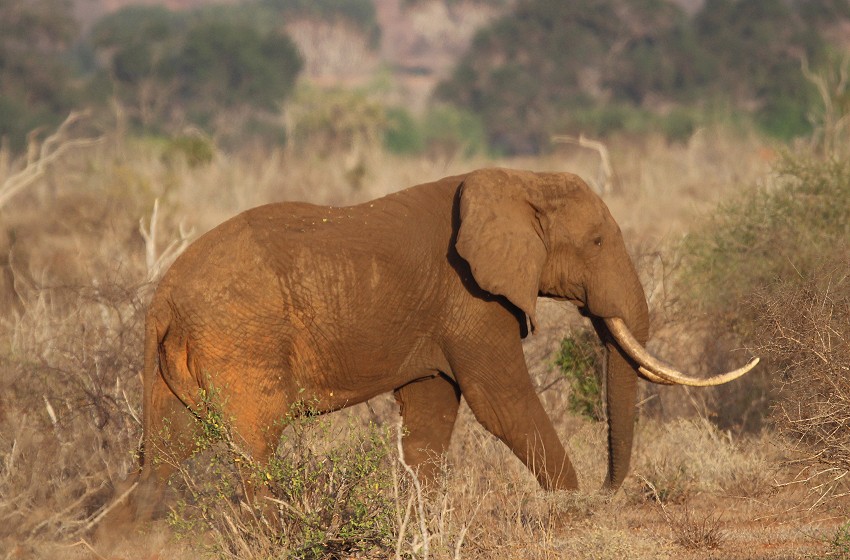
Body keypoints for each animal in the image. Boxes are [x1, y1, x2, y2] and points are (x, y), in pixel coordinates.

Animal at [112, 166, 756, 524]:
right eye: (598, 240)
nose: (607, 491)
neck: (518, 180)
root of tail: (163, 298)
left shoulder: (440, 316)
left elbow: (429, 416)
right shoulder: (470, 298)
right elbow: (501, 402)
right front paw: (570, 510)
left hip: (180, 361)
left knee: (166, 449)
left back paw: (130, 534)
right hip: (242, 339)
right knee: (254, 446)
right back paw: (276, 535)